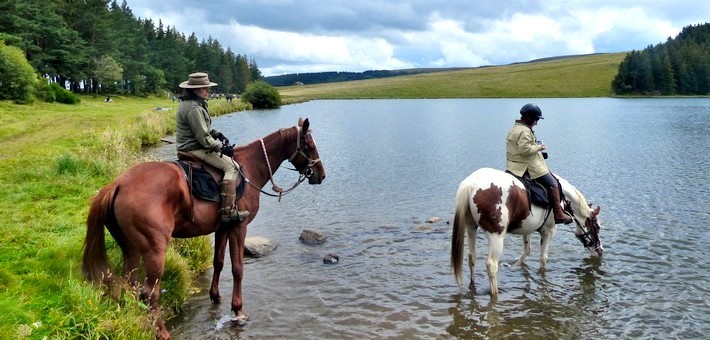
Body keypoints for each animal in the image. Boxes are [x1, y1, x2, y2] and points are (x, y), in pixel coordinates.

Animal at [82, 117, 326, 340]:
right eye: (309, 146)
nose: (321, 175)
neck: (250, 168)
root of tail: (118, 184)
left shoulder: (222, 228)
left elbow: (218, 262)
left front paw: (215, 296)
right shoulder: (239, 228)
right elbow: (237, 268)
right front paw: (238, 310)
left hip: (130, 250)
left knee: (130, 286)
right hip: (155, 251)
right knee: (149, 292)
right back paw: (162, 332)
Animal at [454, 167, 604, 294]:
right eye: (597, 227)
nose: (600, 250)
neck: (562, 197)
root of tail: (471, 183)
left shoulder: (527, 229)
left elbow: (526, 251)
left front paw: (515, 266)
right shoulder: (549, 232)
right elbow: (543, 258)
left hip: (471, 228)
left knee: (471, 257)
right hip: (496, 236)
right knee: (491, 265)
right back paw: (495, 293)